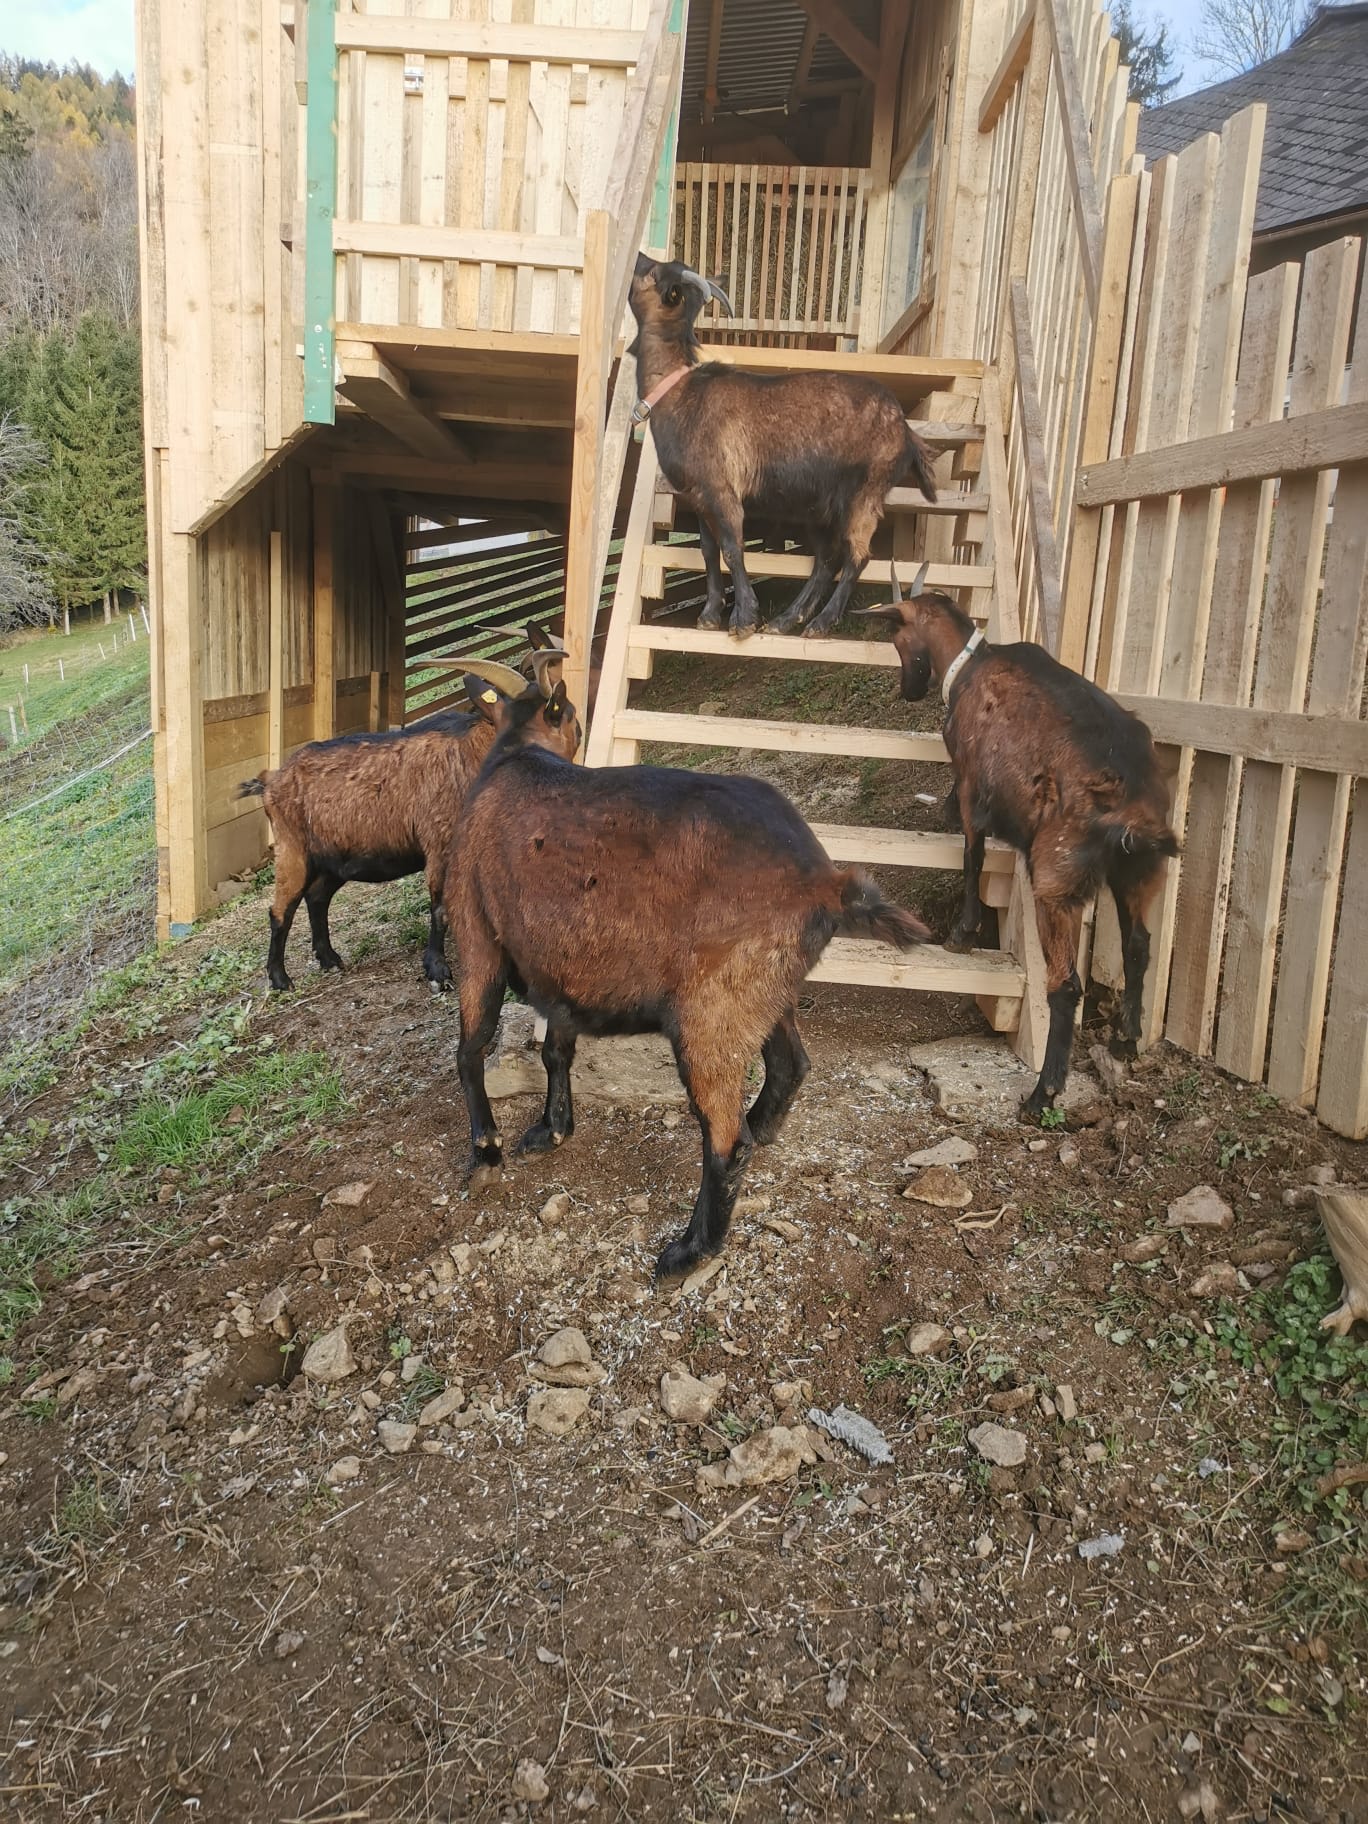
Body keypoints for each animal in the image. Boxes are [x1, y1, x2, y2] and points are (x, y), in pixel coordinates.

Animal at [238, 655, 555, 992]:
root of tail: (270, 781)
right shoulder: (441, 846)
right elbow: (441, 908)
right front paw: (438, 972)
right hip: (293, 851)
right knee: (280, 911)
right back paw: (280, 979)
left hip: (336, 859)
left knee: (317, 896)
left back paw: (329, 959)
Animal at [444, 675, 930, 1279]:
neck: (514, 756)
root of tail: (824, 881)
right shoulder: (566, 969)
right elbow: (556, 1050)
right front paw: (551, 1129)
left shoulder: (476, 934)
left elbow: (471, 1048)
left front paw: (486, 1149)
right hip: (762, 992)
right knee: (790, 1065)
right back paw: (763, 1127)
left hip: (710, 1014)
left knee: (725, 1141)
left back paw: (691, 1250)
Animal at [627, 254, 937, 640]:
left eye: (654, 273)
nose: (638, 258)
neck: (679, 391)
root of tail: (906, 431)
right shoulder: (699, 497)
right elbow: (709, 551)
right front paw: (711, 614)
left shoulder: (722, 489)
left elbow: (732, 550)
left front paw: (743, 618)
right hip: (820, 509)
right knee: (826, 560)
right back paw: (787, 620)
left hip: (865, 493)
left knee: (856, 556)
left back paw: (820, 623)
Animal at [855, 568, 1178, 1117]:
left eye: (897, 638)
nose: (910, 691)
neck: (970, 664)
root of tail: (1135, 804)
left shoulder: (970, 785)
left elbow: (972, 856)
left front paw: (962, 933)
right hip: (1138, 871)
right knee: (1138, 947)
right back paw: (1125, 1040)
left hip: (1056, 878)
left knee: (1065, 985)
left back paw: (1043, 1093)